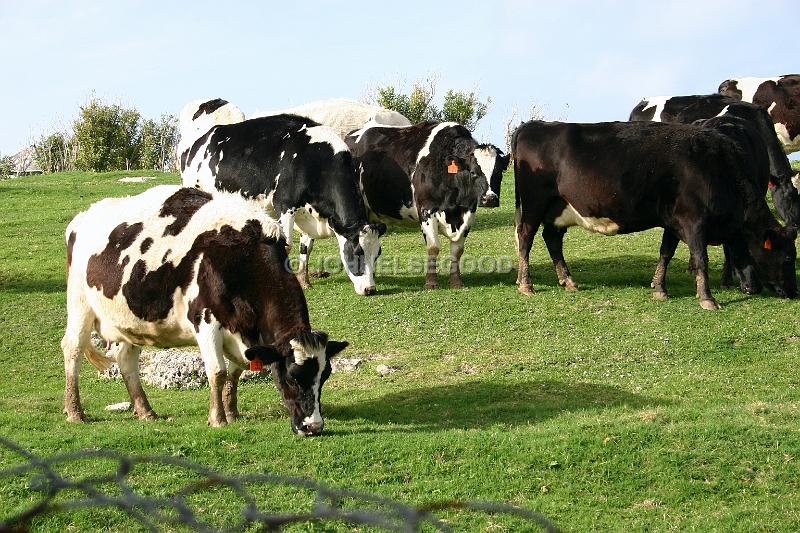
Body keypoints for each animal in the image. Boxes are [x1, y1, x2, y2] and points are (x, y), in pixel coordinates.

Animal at [61, 185, 348, 434]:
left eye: (324, 377)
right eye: (292, 376)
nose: (314, 426)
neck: (243, 257)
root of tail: (83, 218)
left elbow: (235, 372)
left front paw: (232, 412)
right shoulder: (206, 320)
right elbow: (218, 372)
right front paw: (218, 418)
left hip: (132, 320)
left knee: (126, 360)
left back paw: (145, 410)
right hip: (79, 302)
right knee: (72, 348)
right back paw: (75, 412)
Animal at [180, 104, 386, 296]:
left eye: (377, 254)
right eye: (357, 252)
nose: (370, 289)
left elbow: (306, 248)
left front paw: (304, 281)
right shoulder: (285, 205)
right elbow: (287, 245)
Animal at [348, 120, 490, 288]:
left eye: (498, 170)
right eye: (474, 172)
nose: (490, 198)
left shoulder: (468, 214)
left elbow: (457, 250)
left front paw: (456, 281)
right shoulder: (426, 211)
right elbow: (433, 247)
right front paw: (431, 282)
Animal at [510, 119, 796, 308]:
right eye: (787, 258)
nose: (793, 292)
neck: (716, 167)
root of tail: (534, 125)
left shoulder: (674, 222)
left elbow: (666, 253)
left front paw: (659, 288)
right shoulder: (694, 221)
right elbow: (700, 258)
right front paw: (707, 298)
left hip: (559, 208)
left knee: (552, 239)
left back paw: (568, 281)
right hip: (534, 203)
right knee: (526, 237)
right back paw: (526, 284)